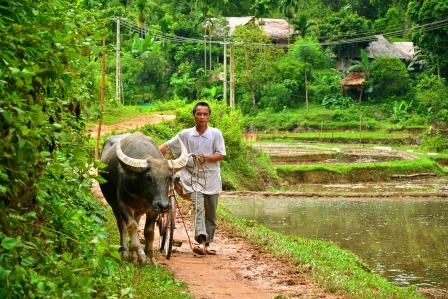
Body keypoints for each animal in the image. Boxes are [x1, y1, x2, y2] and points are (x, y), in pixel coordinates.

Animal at [100, 132, 187, 264]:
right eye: (148, 177)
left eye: (169, 178)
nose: (164, 206)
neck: (142, 194)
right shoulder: (123, 205)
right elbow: (131, 226)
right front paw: (141, 254)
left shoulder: (153, 209)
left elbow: (149, 232)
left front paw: (150, 257)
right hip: (114, 206)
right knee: (122, 226)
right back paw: (125, 252)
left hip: (139, 211)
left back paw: (133, 255)